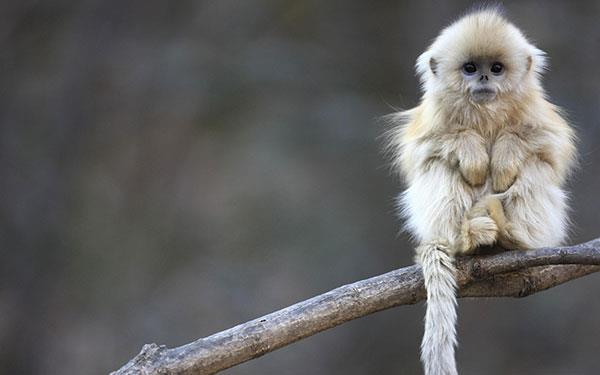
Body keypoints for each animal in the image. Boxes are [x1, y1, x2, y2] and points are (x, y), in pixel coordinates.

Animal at [390, 8, 576, 375]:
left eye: (497, 68)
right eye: (470, 68)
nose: (485, 79)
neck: (485, 113)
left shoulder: (539, 115)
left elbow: (548, 145)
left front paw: (503, 154)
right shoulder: (430, 120)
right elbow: (424, 149)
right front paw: (473, 152)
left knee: (534, 167)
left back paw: (512, 235)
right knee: (440, 166)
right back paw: (467, 237)